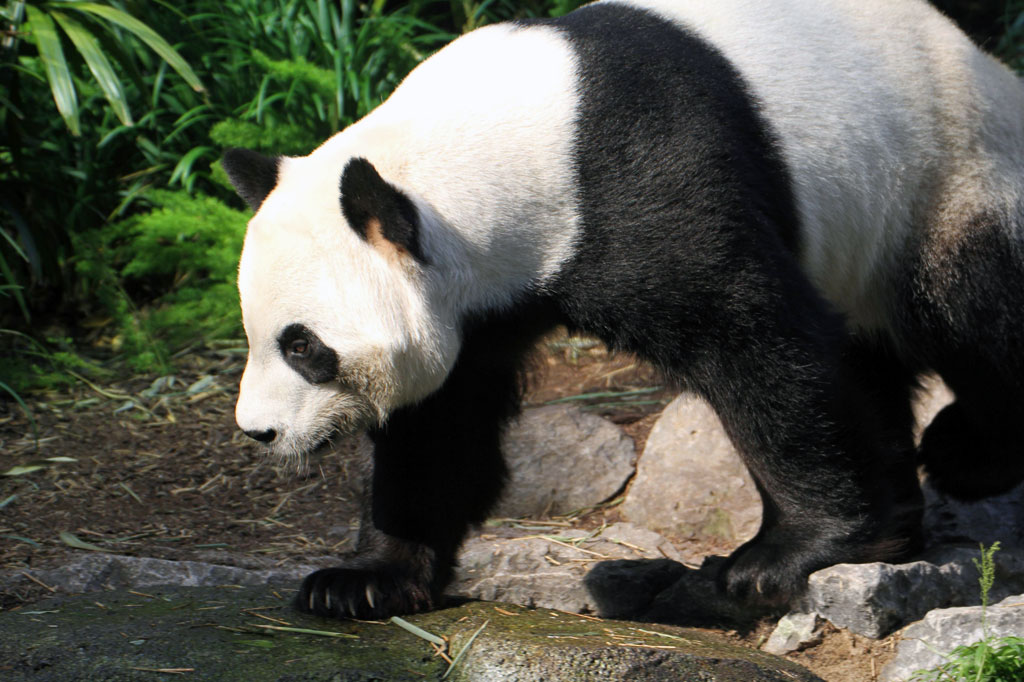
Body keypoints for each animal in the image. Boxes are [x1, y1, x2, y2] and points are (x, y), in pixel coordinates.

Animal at [221, 0, 1024, 621]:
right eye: (256, 335)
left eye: (303, 345)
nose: (259, 432)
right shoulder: (480, 305)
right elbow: (440, 425)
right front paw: (359, 581)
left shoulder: (641, 184)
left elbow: (756, 343)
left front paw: (780, 558)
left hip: (947, 174)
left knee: (971, 311)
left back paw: (966, 453)